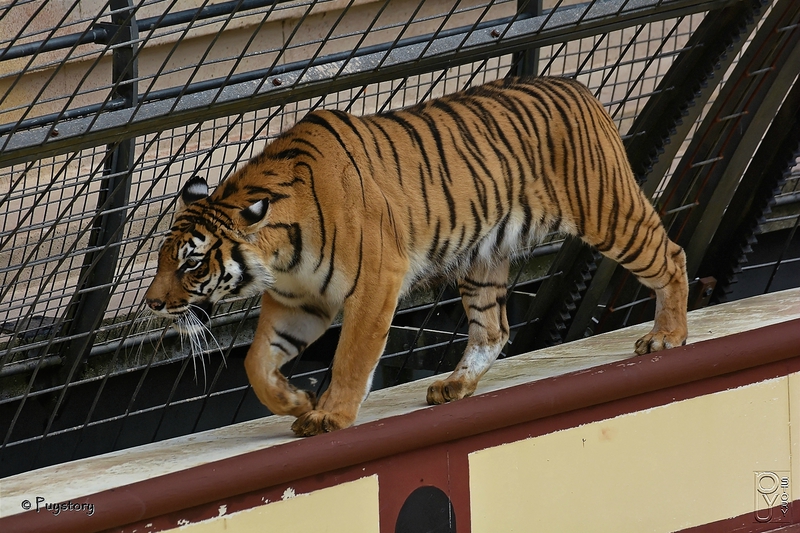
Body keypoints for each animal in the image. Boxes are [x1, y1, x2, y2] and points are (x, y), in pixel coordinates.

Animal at [144, 76, 688, 436]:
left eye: (191, 263)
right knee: (493, 330)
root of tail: (578, 87)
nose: (152, 303)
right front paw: (295, 401)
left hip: (609, 213)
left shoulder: (375, 282)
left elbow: (352, 356)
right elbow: (258, 363)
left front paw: (329, 414)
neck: (280, 255)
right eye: (163, 260)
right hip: (482, 258)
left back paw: (667, 337)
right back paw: (454, 386)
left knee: (672, 256)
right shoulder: (300, 300)